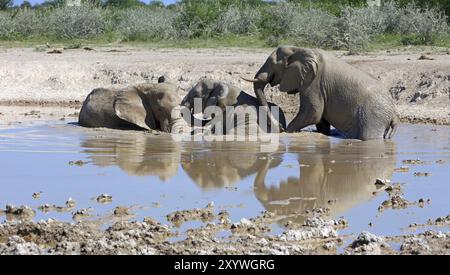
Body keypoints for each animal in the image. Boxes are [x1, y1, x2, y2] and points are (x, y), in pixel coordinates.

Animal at [244, 46, 400, 141]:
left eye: (272, 64)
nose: (280, 127)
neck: (299, 49)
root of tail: (393, 114)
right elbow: (321, 119)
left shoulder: (313, 82)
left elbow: (313, 113)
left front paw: (287, 131)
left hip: (373, 116)